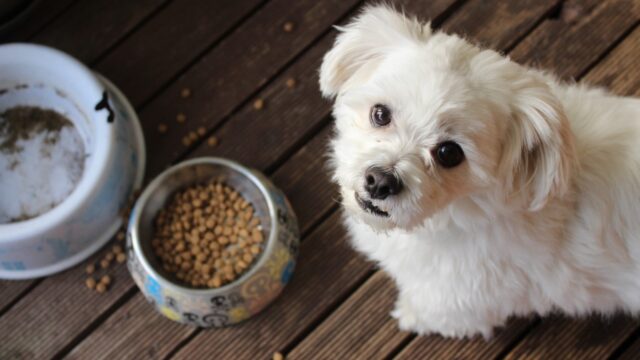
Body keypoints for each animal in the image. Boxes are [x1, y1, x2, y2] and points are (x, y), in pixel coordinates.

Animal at [322, 5, 640, 338]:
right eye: (380, 113)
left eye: (449, 153)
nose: (380, 181)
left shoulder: (462, 300)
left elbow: (434, 311)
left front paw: (409, 314)